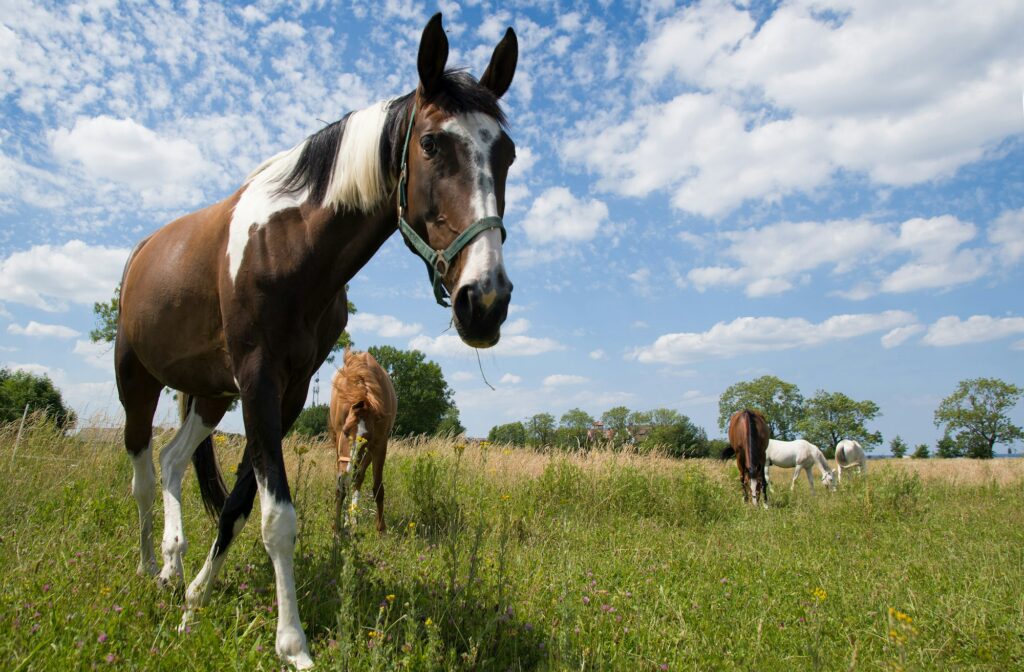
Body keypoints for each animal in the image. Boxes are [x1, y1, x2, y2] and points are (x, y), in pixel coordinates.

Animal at [327, 348, 395, 532]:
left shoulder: (379, 444)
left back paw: (353, 519)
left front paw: (381, 528)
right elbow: (341, 487)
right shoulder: (339, 439)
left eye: (367, 438)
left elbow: (377, 487)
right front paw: (337, 527)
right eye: (345, 431)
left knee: (358, 477)